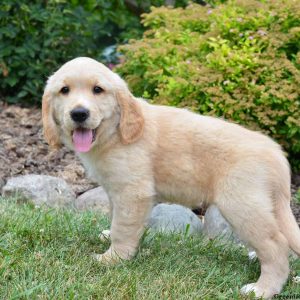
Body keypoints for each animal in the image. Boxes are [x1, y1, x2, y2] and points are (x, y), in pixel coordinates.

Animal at [42, 57, 300, 298]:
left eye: (98, 90)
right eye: (64, 90)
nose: (79, 113)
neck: (115, 132)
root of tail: (277, 154)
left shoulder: (132, 192)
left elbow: (123, 227)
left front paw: (114, 258)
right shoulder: (116, 191)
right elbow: (116, 219)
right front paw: (109, 237)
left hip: (241, 205)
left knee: (277, 245)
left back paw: (263, 288)